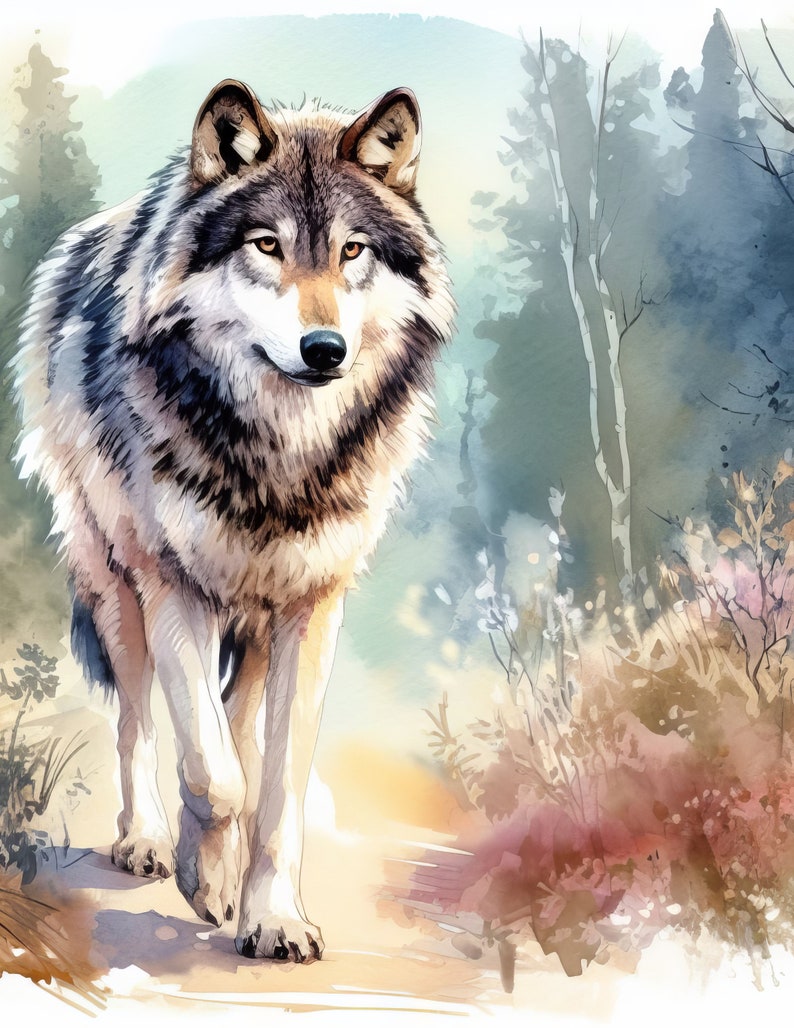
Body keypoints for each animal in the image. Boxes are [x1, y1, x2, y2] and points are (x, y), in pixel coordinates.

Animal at [13, 79, 453, 961]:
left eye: (353, 251)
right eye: (267, 245)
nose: (324, 349)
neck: (277, 457)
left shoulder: (312, 607)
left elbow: (273, 786)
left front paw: (272, 916)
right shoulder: (173, 587)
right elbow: (212, 774)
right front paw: (206, 878)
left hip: (252, 619)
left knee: (240, 732)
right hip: (115, 586)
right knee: (140, 721)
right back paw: (148, 841)